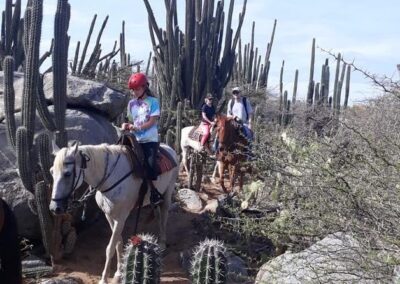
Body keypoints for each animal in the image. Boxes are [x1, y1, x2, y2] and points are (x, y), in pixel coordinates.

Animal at [49, 142, 177, 284]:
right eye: (51, 172)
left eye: (67, 173)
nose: (55, 208)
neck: (110, 177)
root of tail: (169, 148)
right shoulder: (109, 216)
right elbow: (118, 244)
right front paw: (118, 273)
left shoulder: (121, 218)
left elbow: (110, 248)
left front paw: (104, 279)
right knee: (159, 216)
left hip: (168, 193)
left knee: (164, 215)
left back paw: (162, 244)